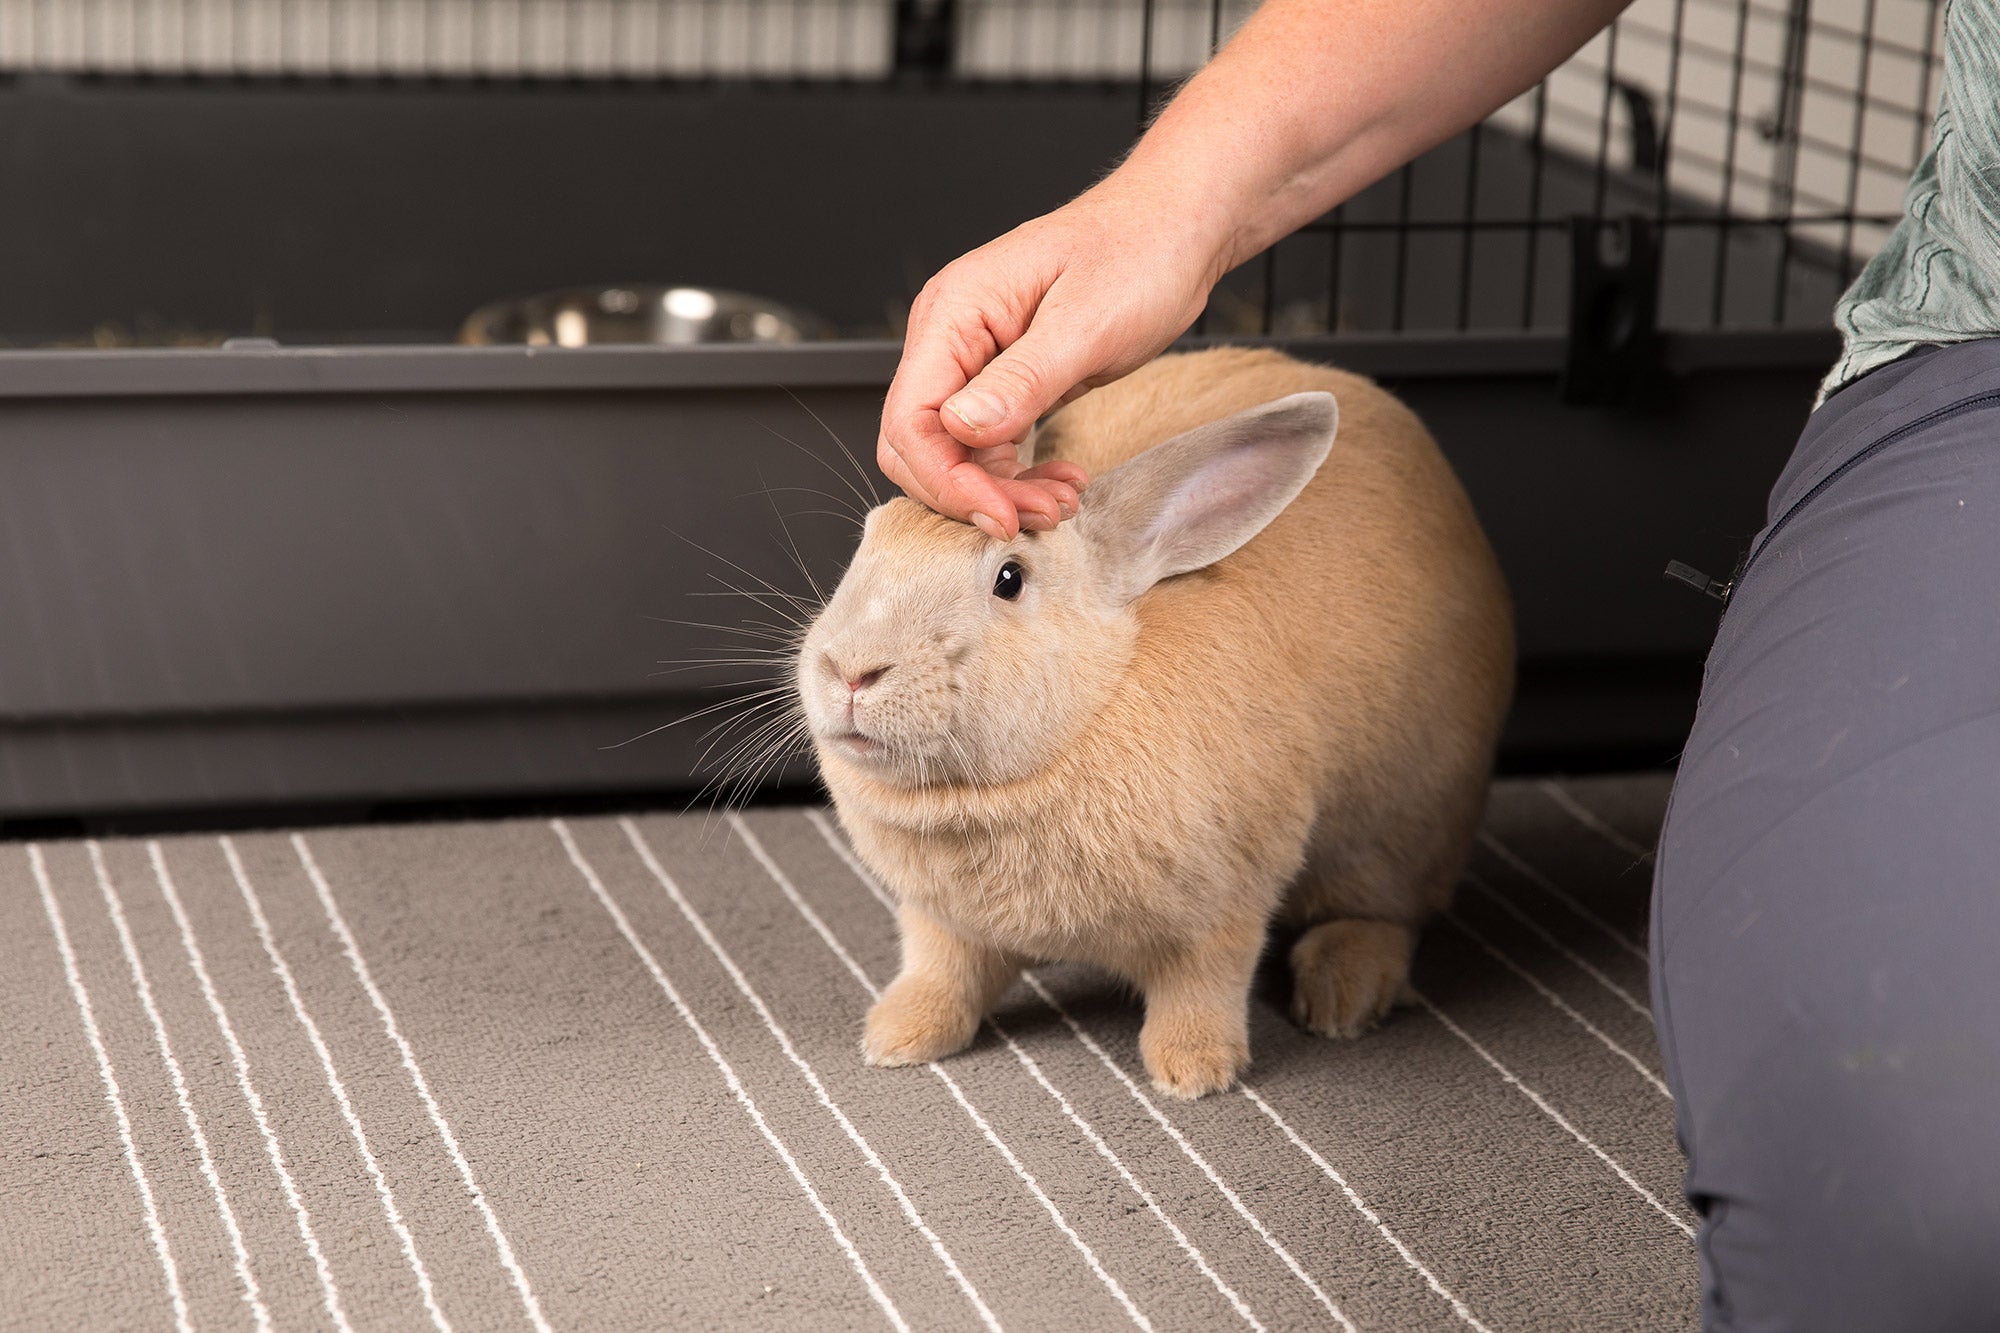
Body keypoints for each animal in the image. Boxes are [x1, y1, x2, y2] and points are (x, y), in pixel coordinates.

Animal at [788, 348, 1504, 1096]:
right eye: (869, 539)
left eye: (1010, 578)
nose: (851, 669)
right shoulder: (940, 920)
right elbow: (941, 970)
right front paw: (897, 1037)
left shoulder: (1226, 908)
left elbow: (1205, 984)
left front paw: (1192, 1070)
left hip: (1399, 832)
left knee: (1388, 912)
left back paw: (1344, 996)